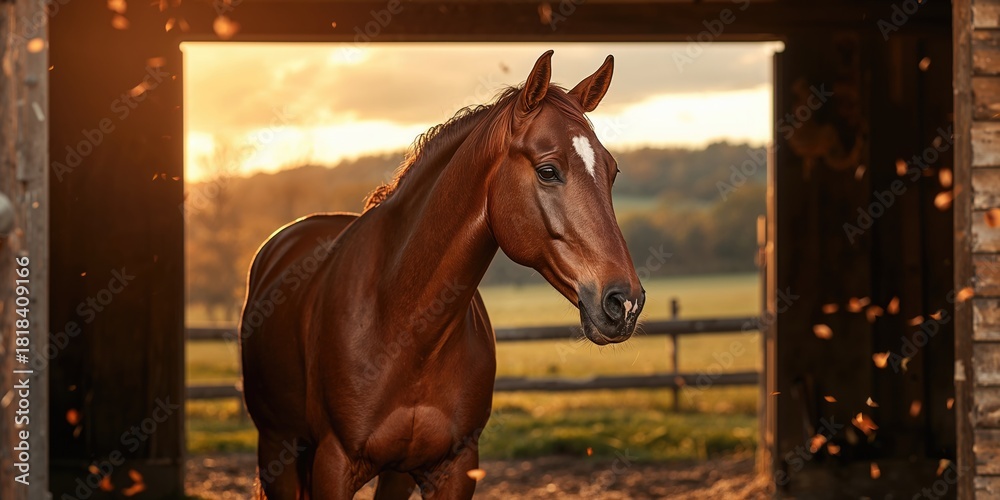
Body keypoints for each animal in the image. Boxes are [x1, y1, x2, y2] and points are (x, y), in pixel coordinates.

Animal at [239, 50, 646, 499]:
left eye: (612, 171)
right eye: (548, 170)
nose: (624, 302)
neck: (404, 326)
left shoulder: (455, 467)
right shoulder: (333, 464)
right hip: (278, 450)